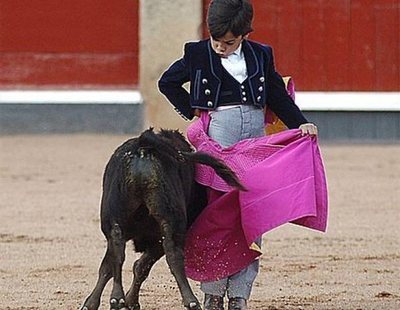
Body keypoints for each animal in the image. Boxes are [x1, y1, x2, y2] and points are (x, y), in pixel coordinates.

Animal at [80, 128, 244, 310]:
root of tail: (143, 146)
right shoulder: (157, 240)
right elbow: (138, 266)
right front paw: (128, 301)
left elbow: (112, 266)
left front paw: (97, 302)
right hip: (171, 222)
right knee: (173, 255)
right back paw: (191, 301)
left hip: (114, 217)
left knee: (118, 249)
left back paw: (117, 297)